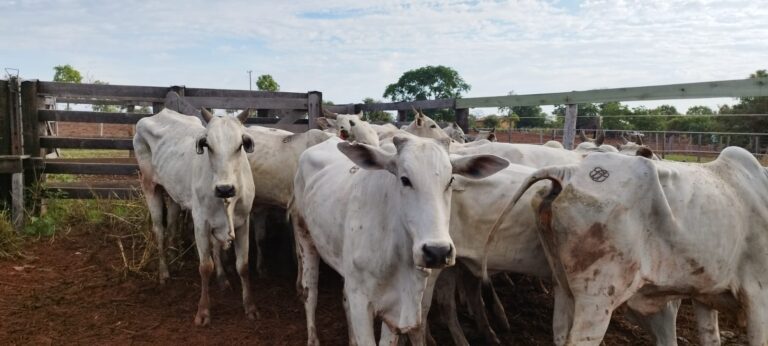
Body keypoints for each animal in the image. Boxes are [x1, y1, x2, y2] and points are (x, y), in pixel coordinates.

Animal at [136, 107, 258, 324]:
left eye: (240, 145)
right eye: (208, 145)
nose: (225, 189)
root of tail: (160, 113)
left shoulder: (243, 222)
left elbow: (242, 265)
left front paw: (248, 305)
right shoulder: (201, 222)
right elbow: (205, 266)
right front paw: (203, 311)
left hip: (174, 195)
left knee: (173, 226)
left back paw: (175, 258)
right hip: (149, 186)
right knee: (159, 230)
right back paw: (164, 272)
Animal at [290, 134, 510, 344]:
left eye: (450, 181)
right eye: (405, 180)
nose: (437, 251)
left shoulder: (397, 308)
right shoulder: (361, 300)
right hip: (305, 237)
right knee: (310, 291)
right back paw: (313, 339)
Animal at [504, 147, 768, 344]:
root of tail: (568, 172)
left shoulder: (705, 294)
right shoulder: (758, 292)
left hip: (562, 285)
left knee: (559, 332)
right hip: (598, 296)